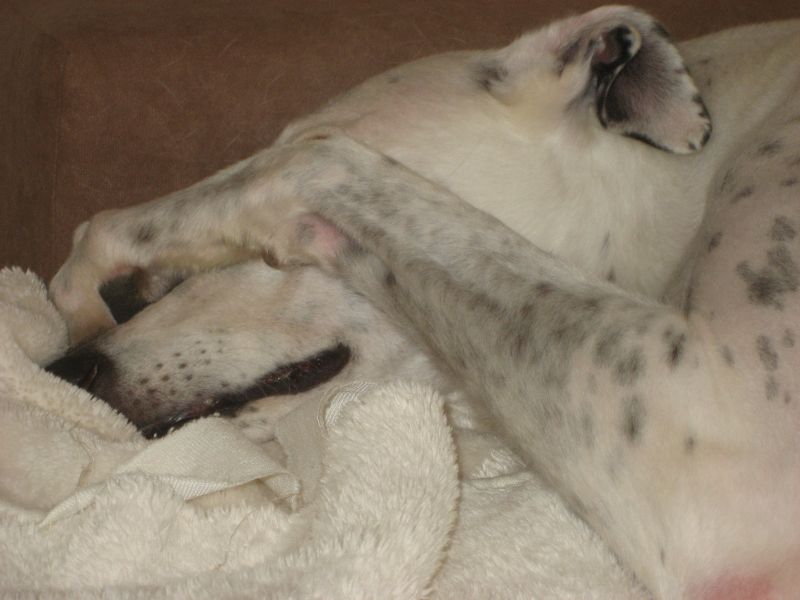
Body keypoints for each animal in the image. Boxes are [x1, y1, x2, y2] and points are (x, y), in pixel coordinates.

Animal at [45, 6, 800, 599]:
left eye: (264, 254)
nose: (69, 371)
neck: (686, 186)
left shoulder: (706, 411)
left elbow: (307, 162)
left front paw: (95, 260)